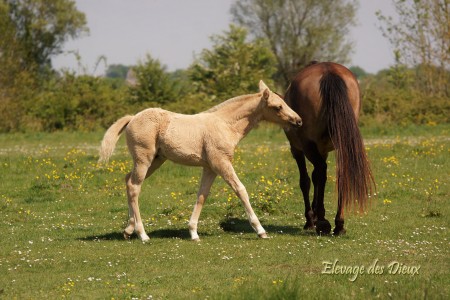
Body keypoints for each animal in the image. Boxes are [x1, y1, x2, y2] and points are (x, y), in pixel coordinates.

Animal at [99, 81, 302, 241]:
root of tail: (133, 117)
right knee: (134, 187)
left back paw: (128, 229)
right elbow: (241, 190)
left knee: (128, 181)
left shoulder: (210, 168)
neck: (225, 124)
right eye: (278, 107)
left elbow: (202, 195)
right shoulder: (221, 163)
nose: (299, 121)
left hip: (156, 161)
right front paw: (260, 230)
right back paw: (142, 234)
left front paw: (193, 232)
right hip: (144, 160)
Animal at [284, 61, 376, 234]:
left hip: (306, 146)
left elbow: (306, 181)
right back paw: (339, 223)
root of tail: (328, 71)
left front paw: (310, 219)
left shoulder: (297, 150)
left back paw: (322, 222)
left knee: (319, 171)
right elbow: (317, 178)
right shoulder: (322, 151)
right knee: (339, 174)